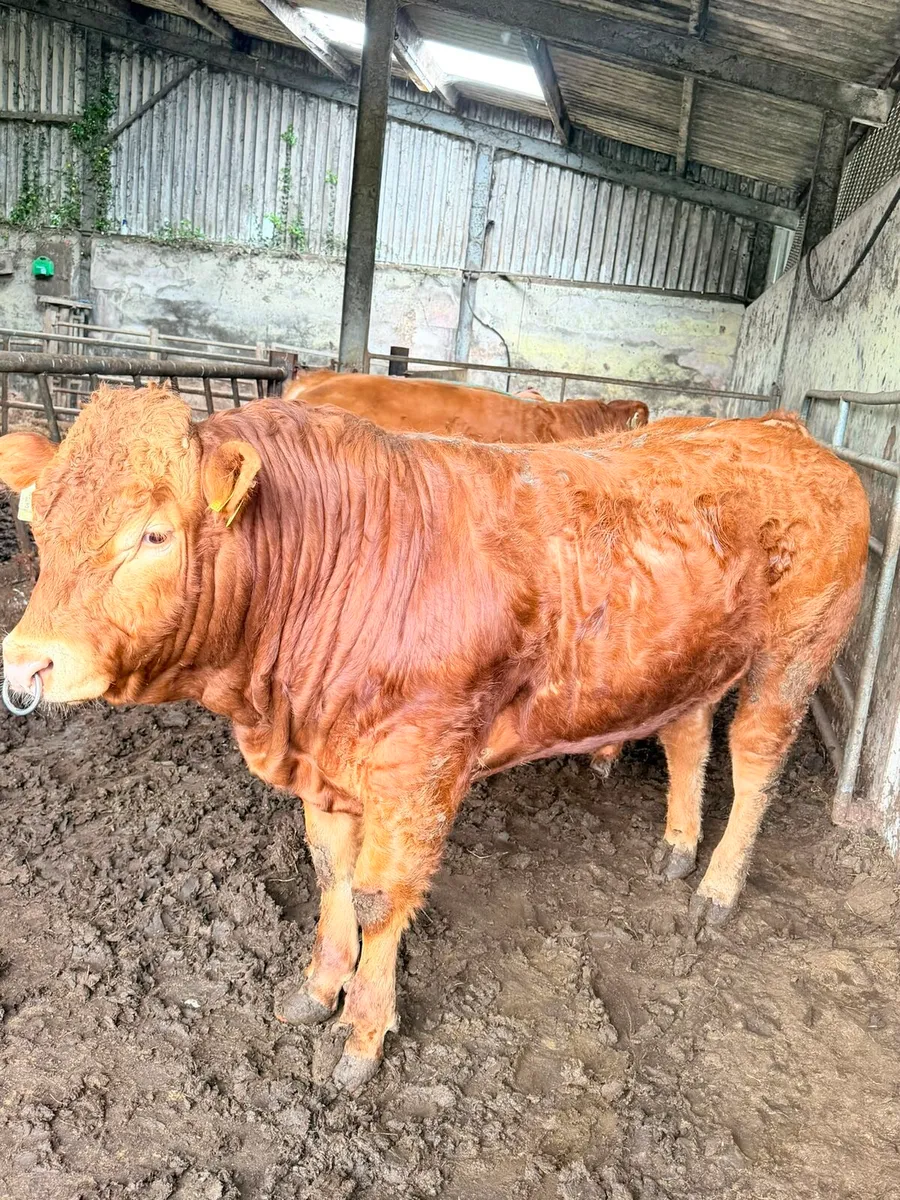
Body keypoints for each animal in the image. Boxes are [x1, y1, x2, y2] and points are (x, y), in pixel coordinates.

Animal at [0, 387, 869, 1089]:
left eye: (153, 535)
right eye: (38, 520)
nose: (26, 664)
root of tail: (777, 428)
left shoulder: (418, 768)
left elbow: (380, 900)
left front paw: (364, 1034)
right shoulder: (329, 763)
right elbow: (331, 874)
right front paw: (318, 990)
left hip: (796, 653)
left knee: (755, 761)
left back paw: (718, 886)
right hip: (689, 663)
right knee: (689, 739)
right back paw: (678, 846)